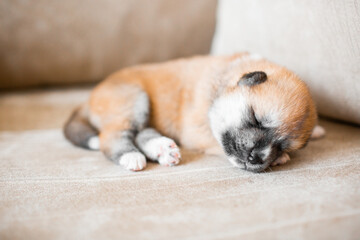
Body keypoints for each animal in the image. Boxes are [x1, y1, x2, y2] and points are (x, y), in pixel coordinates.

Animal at [63, 53, 324, 172]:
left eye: (282, 144)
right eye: (256, 119)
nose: (255, 158)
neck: (220, 87)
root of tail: (89, 99)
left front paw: (315, 132)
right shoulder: (199, 132)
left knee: (141, 133)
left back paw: (163, 150)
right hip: (133, 100)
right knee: (113, 136)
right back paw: (131, 156)